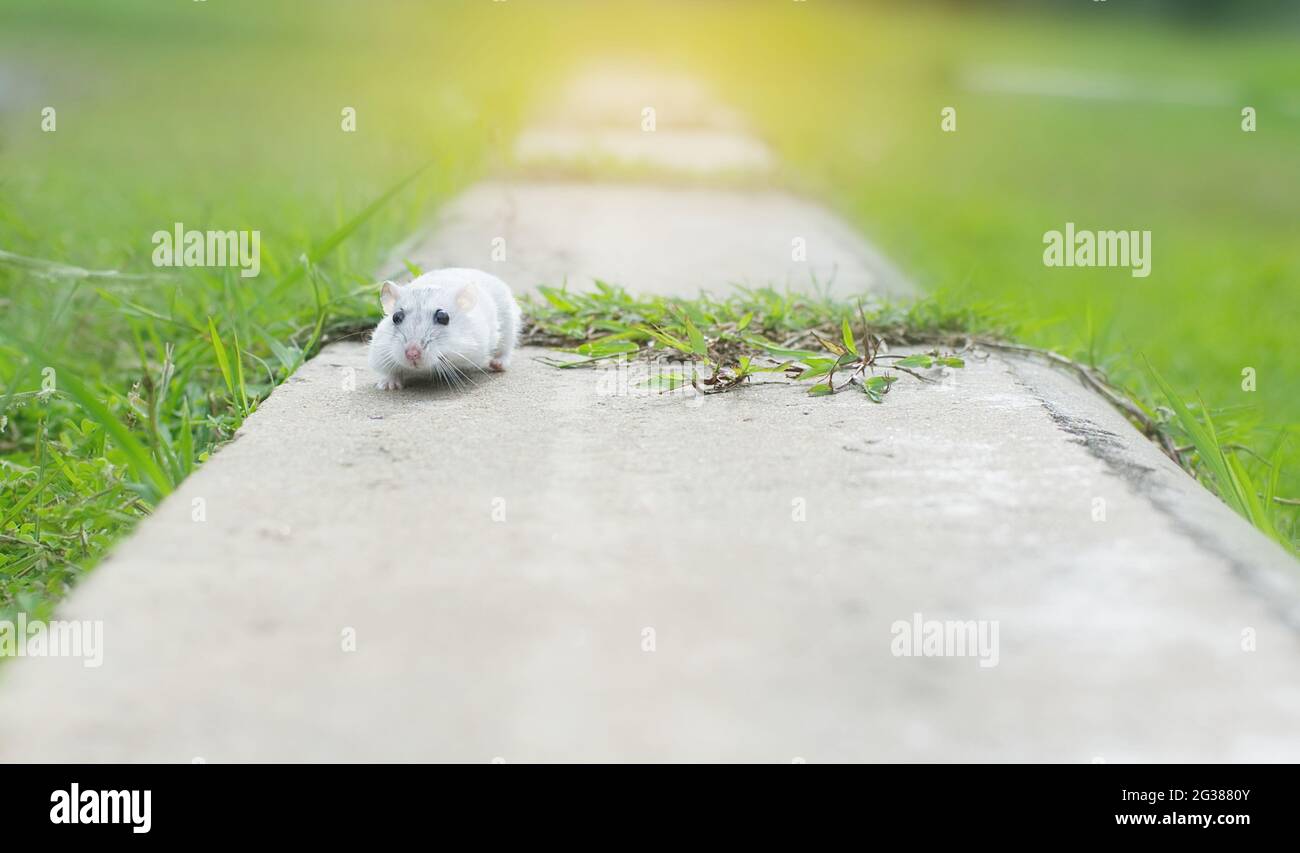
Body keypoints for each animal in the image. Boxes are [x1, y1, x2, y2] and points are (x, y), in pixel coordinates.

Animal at [366, 267, 517, 392]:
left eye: (443, 317)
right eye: (396, 317)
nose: (412, 354)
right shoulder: (380, 349)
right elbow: (390, 371)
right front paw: (388, 386)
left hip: (510, 327)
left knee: (505, 350)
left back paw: (497, 365)